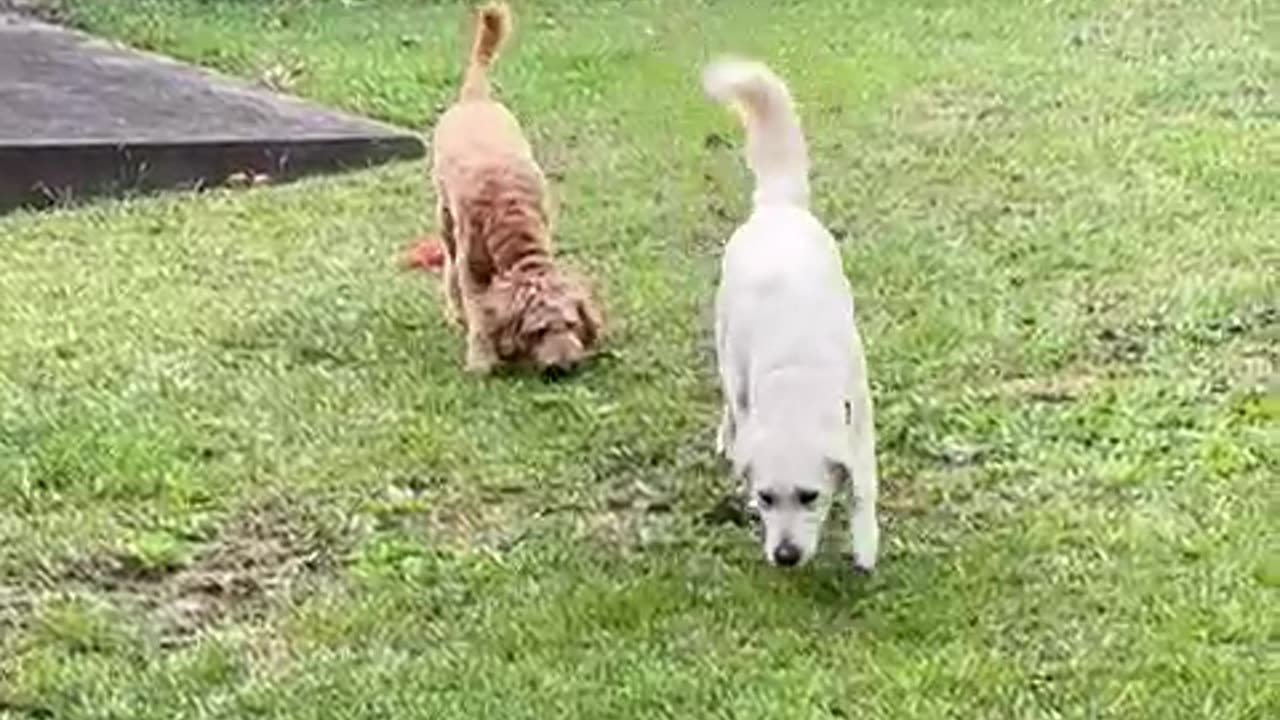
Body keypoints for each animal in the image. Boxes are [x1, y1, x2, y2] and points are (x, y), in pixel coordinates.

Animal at [427, 4, 601, 376]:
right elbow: (478, 310)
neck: (510, 213)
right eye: (537, 331)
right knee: (448, 263)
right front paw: (481, 358)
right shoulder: (473, 267)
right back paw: (454, 311)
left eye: (572, 324)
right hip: (445, 216)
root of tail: (476, 97)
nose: (563, 368)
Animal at [706, 57, 875, 571]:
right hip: (725, 350)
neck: (797, 374)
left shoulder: (861, 417)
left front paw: (866, 543)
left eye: (808, 496)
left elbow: (863, 487)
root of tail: (776, 207)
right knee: (729, 402)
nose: (784, 555)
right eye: (765, 498)